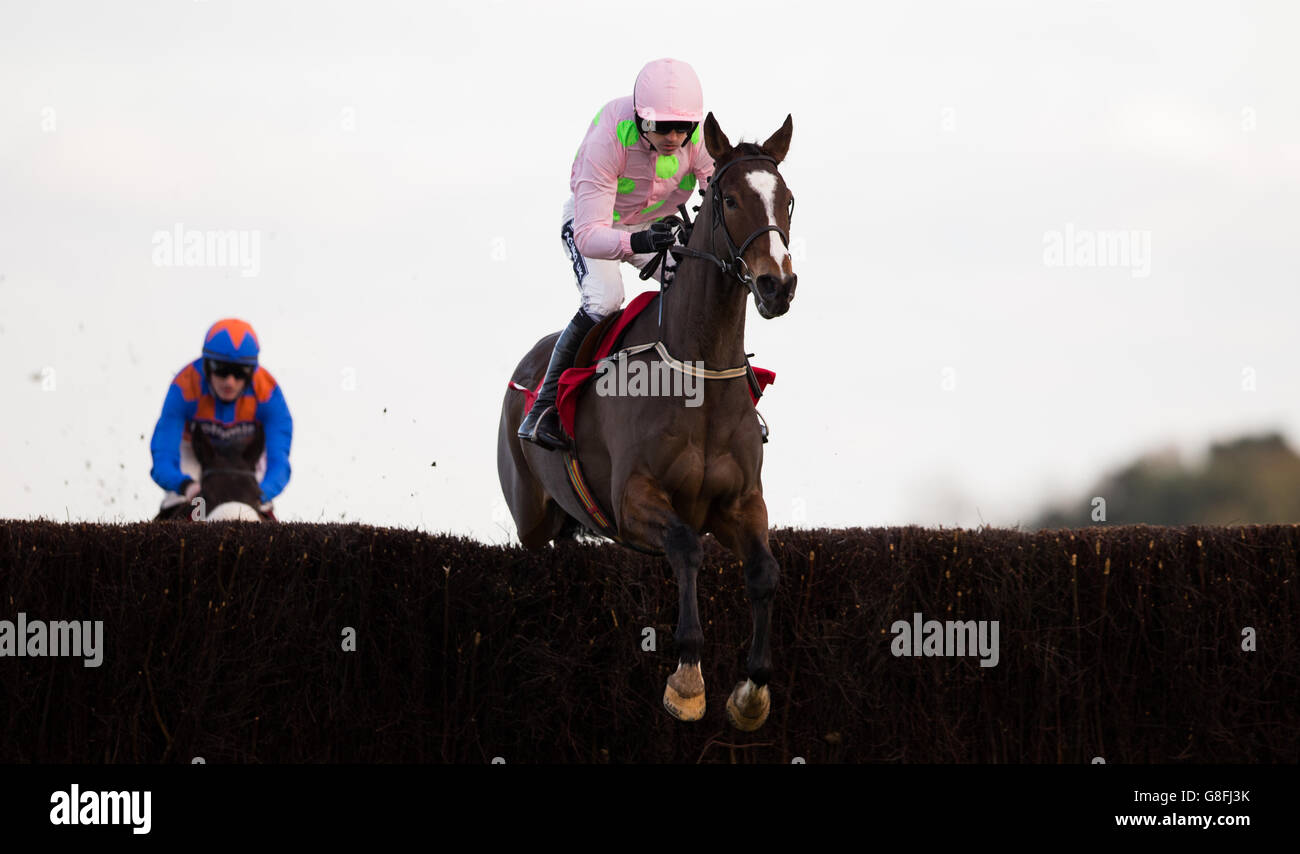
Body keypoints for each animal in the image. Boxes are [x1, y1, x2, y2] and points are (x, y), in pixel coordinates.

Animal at [496, 109, 795, 727]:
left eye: (789, 200)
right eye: (730, 199)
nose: (777, 285)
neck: (699, 371)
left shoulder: (741, 503)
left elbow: (764, 572)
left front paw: (752, 689)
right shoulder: (633, 500)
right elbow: (685, 547)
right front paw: (687, 679)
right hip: (530, 518)